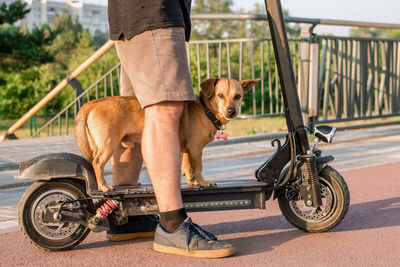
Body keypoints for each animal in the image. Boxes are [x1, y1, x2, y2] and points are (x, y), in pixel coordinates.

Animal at [75, 77, 262, 193]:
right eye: (220, 95)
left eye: (238, 96)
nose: (231, 111)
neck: (205, 109)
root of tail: (91, 104)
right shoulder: (196, 149)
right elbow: (198, 167)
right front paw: (203, 182)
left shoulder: (187, 150)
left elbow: (187, 167)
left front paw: (192, 182)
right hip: (108, 144)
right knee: (97, 163)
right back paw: (103, 186)